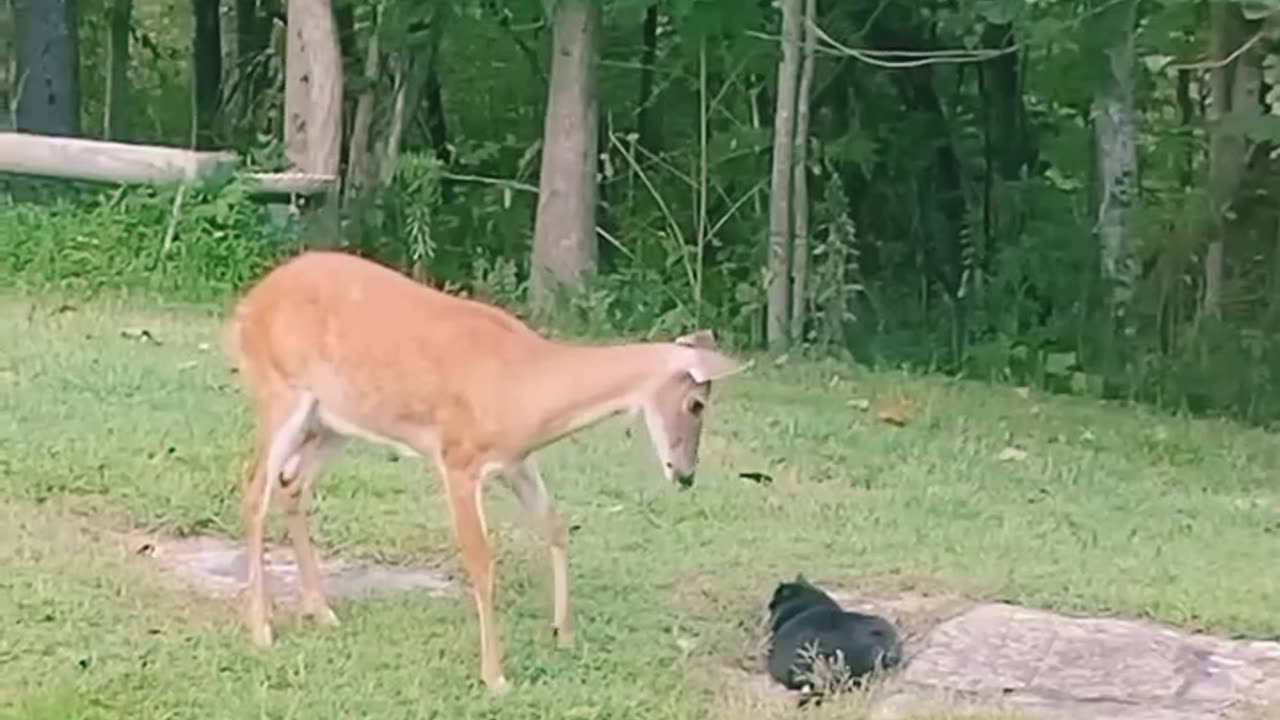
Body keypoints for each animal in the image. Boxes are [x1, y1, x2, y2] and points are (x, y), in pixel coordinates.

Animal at [218, 245, 742, 691]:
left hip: (336, 420)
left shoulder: (516, 461)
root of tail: (248, 305)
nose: (686, 474)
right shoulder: (458, 459)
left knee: (291, 483)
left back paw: (321, 611)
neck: (526, 386)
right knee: (254, 488)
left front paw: (564, 634)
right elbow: (482, 562)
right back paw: (262, 629)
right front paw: (495, 677)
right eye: (697, 403)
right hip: (280, 391)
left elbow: (554, 527)